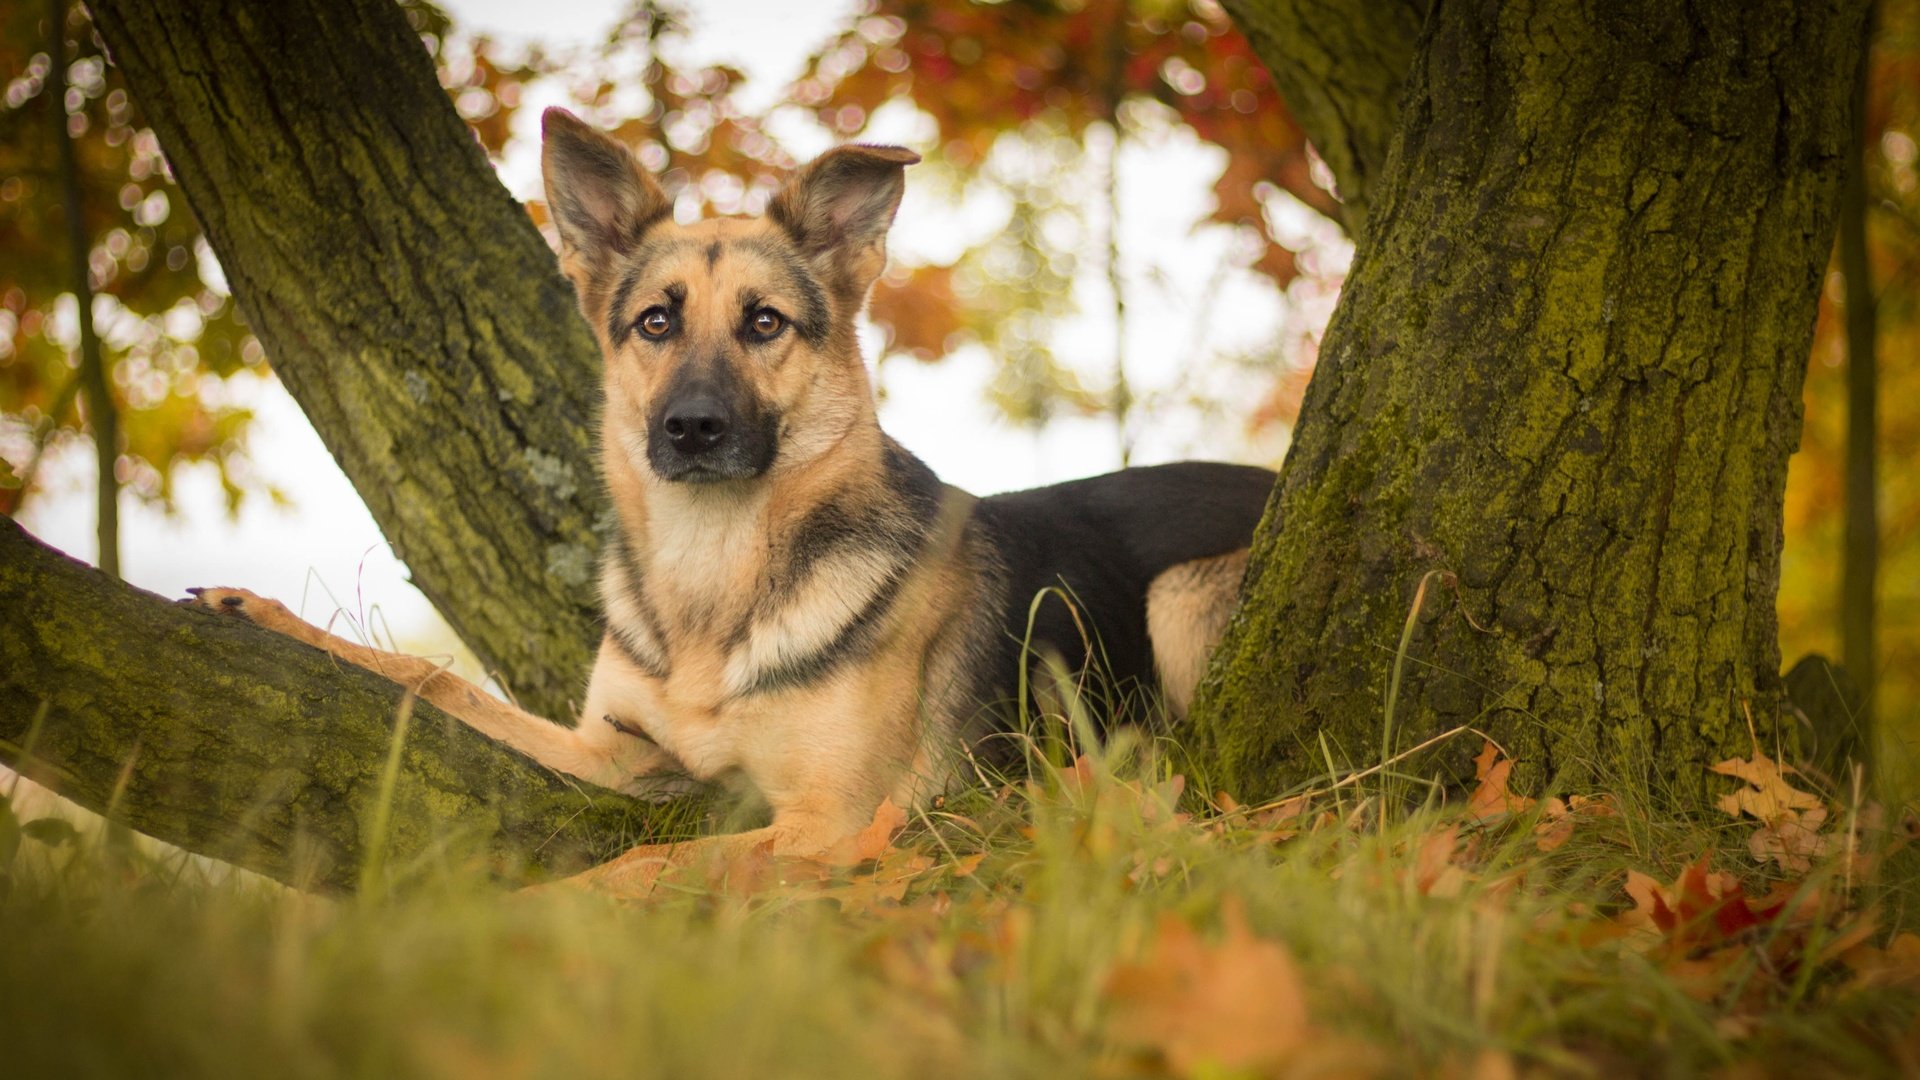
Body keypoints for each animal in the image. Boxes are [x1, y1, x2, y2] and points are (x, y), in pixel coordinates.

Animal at [191, 109, 1274, 891]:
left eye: (764, 324)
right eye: (654, 322)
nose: (693, 429)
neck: (714, 581)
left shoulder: (833, 821)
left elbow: (651, 858)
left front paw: (538, 913)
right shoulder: (610, 753)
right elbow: (436, 681)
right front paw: (265, 615)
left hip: (1180, 600)